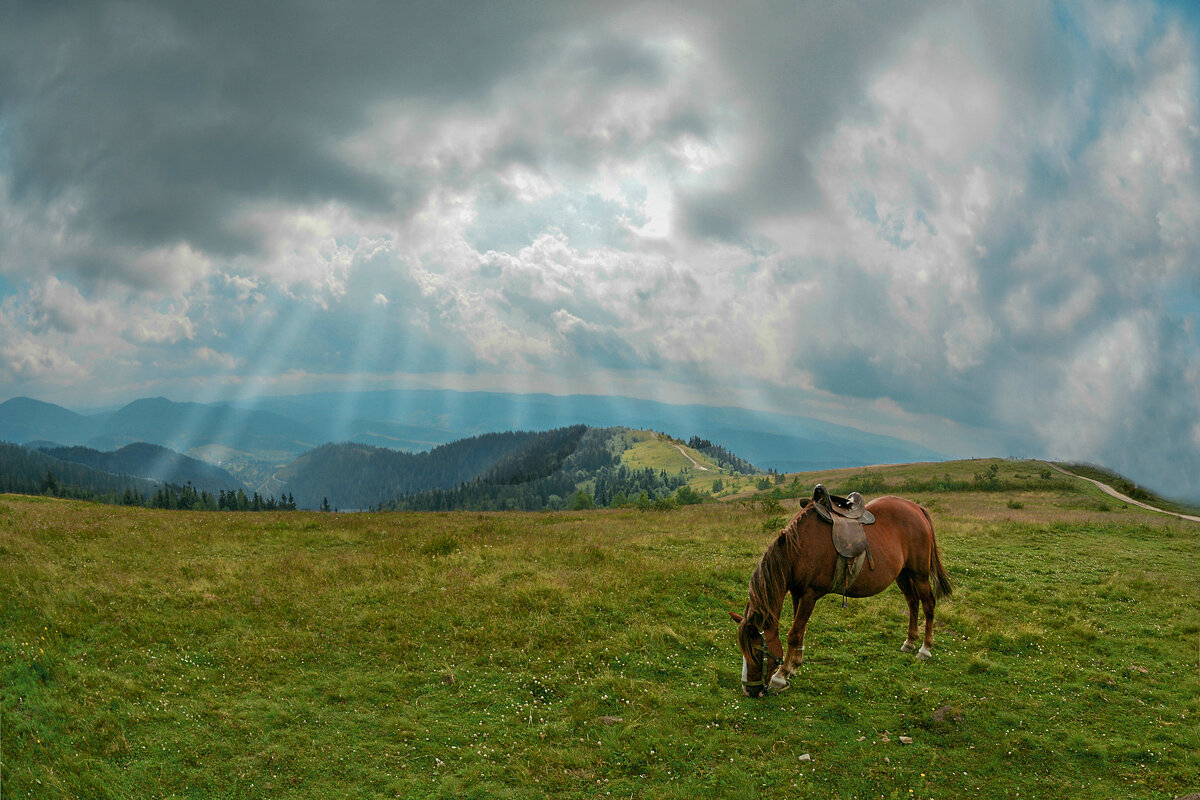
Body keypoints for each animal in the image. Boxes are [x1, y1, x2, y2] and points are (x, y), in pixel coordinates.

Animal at [724, 491, 950, 695]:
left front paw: (781, 675)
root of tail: (917, 508)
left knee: (928, 604)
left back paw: (925, 648)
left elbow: (794, 634)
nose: (749, 691)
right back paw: (910, 642)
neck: (797, 549)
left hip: (919, 574)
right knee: (912, 602)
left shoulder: (810, 595)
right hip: (902, 575)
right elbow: (801, 629)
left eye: (755, 653)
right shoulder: (798, 593)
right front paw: (795, 664)